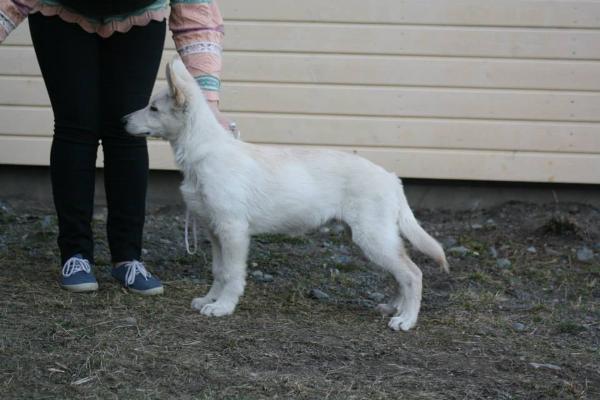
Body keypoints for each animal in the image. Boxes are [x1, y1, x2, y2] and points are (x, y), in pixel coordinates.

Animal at [124, 57, 448, 332]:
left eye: (153, 109)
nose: (122, 120)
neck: (203, 152)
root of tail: (392, 178)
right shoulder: (214, 231)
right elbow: (219, 271)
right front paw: (209, 300)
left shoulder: (233, 231)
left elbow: (232, 274)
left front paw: (223, 307)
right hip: (372, 238)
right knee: (401, 273)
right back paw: (394, 308)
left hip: (373, 237)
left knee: (412, 273)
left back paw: (406, 319)